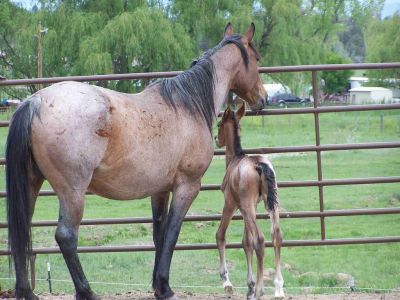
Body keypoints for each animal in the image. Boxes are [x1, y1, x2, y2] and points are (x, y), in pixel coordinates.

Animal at [5, 24, 266, 300]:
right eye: (257, 59)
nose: (262, 98)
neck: (188, 105)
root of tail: (36, 101)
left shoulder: (160, 190)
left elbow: (159, 234)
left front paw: (158, 286)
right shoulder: (187, 186)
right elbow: (172, 234)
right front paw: (165, 287)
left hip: (32, 184)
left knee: (21, 228)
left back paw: (26, 292)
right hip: (72, 191)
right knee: (66, 236)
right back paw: (86, 292)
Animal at [216, 99, 284, 298]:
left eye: (219, 124)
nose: (216, 139)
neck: (235, 159)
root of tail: (259, 165)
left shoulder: (231, 204)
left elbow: (221, 235)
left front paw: (227, 282)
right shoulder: (247, 207)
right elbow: (246, 242)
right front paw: (249, 286)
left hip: (247, 207)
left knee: (260, 240)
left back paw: (261, 290)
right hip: (269, 206)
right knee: (276, 236)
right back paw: (278, 288)